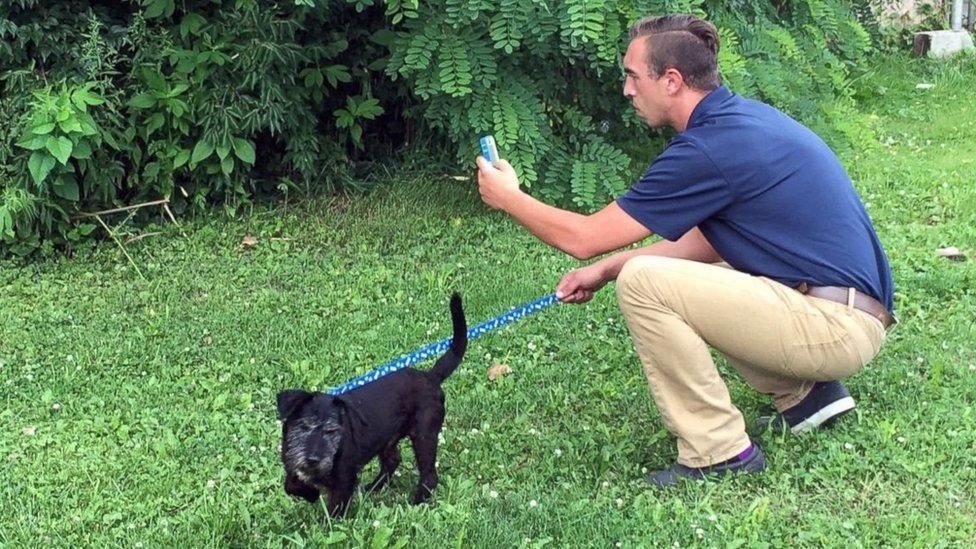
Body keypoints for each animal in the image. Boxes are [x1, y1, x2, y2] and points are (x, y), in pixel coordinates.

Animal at [274, 294, 468, 516]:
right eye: (304, 426)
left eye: (332, 431)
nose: (313, 459)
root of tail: (431, 377)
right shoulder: (292, 464)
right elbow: (290, 485)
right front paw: (311, 493)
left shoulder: (344, 480)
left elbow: (335, 511)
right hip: (387, 437)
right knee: (393, 461)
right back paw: (373, 488)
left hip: (424, 434)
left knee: (429, 475)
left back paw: (417, 500)